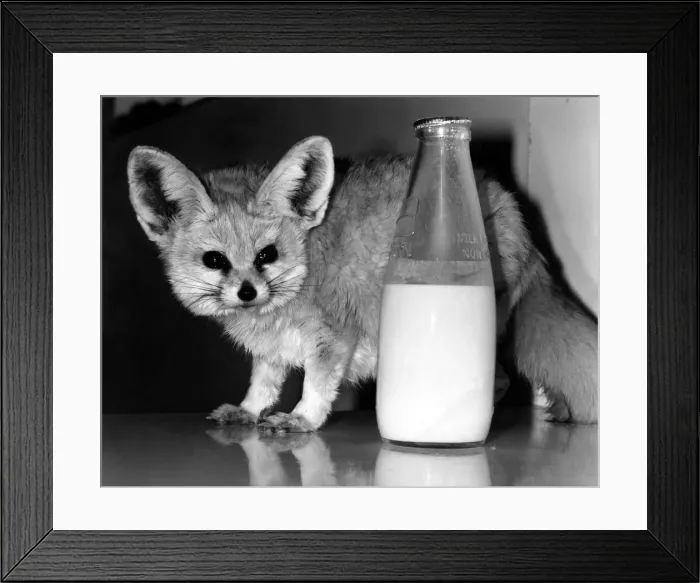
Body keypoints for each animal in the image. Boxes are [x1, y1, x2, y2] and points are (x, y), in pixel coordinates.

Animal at [126, 134, 598, 433]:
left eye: (266, 255)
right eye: (214, 260)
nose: (247, 292)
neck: (309, 259)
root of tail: (514, 210)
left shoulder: (335, 337)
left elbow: (316, 387)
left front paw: (302, 419)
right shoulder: (274, 347)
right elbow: (262, 383)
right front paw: (249, 410)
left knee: (494, 381)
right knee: (499, 381)